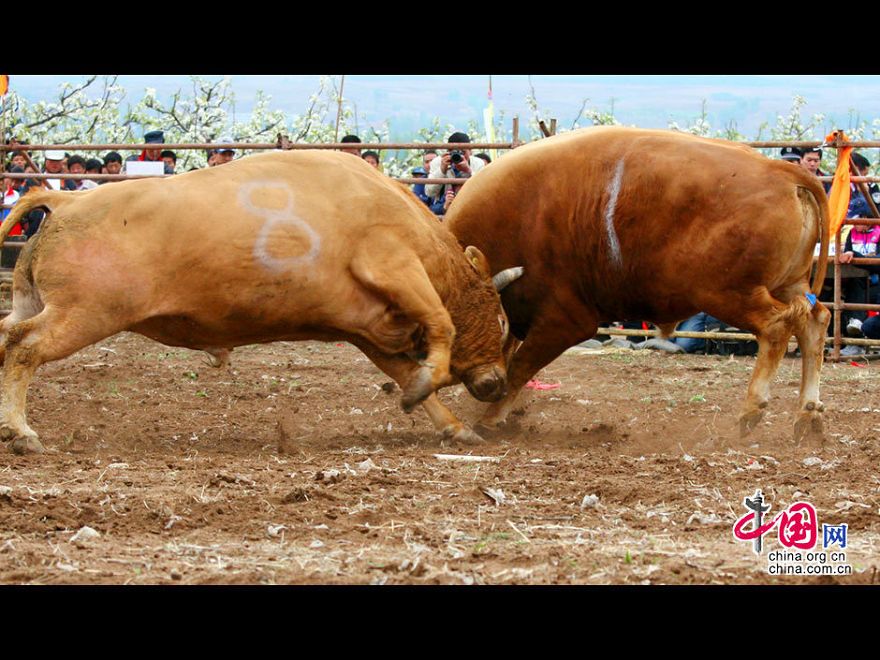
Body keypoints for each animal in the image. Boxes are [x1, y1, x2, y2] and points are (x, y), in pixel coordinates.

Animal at [0, 150, 524, 454]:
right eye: (500, 321)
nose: (497, 382)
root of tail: (64, 204)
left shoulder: (365, 329)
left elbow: (404, 372)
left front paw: (453, 426)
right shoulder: (394, 265)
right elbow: (442, 325)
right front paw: (430, 387)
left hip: (33, 302)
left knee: (8, 339)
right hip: (83, 315)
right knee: (24, 348)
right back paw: (22, 432)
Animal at [446, 126, 832, 440]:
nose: (483, 385)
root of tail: (782, 171)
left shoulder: (565, 322)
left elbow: (520, 367)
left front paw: (491, 419)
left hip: (729, 294)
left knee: (777, 325)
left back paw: (752, 410)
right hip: (788, 285)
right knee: (814, 320)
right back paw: (807, 416)